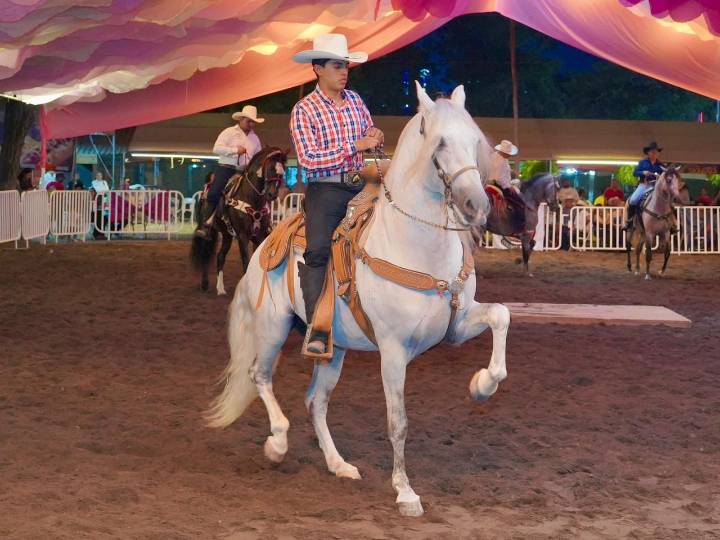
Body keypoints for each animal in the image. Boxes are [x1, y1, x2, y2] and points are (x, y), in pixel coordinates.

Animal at [190, 147, 287, 294]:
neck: (251, 198)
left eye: (283, 171)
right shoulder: (242, 236)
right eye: (270, 168)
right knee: (205, 254)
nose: (272, 195)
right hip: (209, 232)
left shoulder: (259, 236)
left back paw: (221, 288)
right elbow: (246, 262)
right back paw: (205, 284)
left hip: (227, 235)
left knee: (220, 257)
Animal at [205, 83, 511, 517]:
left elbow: (501, 315)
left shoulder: (459, 323)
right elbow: (398, 421)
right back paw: (277, 443)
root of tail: (265, 248)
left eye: (474, 141)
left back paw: (339, 465)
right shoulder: (394, 349)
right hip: (272, 328)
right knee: (259, 376)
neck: (415, 245)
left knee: (315, 402)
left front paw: (482, 385)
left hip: (332, 351)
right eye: (439, 143)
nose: (477, 207)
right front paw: (405, 492)